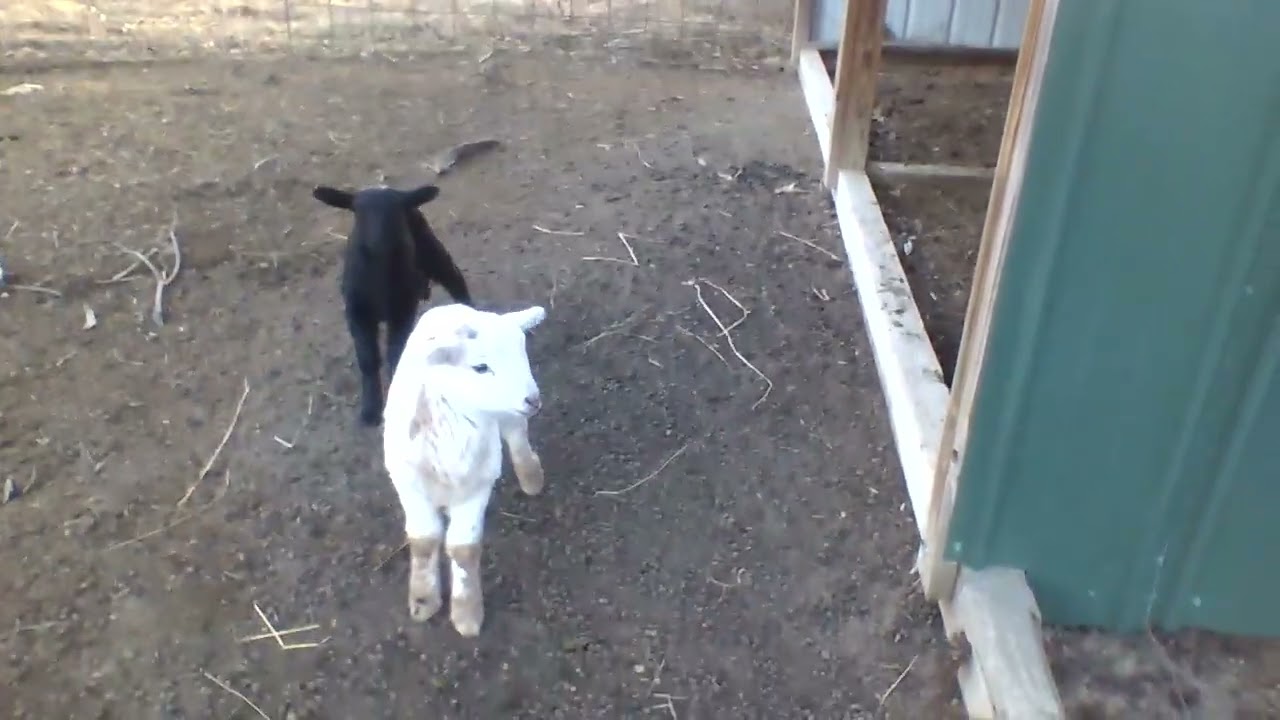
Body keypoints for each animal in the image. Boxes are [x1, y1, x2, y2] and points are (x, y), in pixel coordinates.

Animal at [312, 183, 473, 426]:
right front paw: (370, 410)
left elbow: (394, 355)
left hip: (429, 248)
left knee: (453, 276)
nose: (379, 242)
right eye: (358, 213)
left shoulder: (402, 311)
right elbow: (368, 359)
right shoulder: (357, 313)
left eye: (395, 212)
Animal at [382, 301, 547, 637]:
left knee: (517, 435)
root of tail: (456, 308)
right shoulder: (408, 485)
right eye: (480, 367)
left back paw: (530, 476)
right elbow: (424, 539)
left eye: (522, 350)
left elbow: (463, 549)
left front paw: (467, 613)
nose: (534, 399)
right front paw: (423, 599)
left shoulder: (477, 485)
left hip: (509, 414)